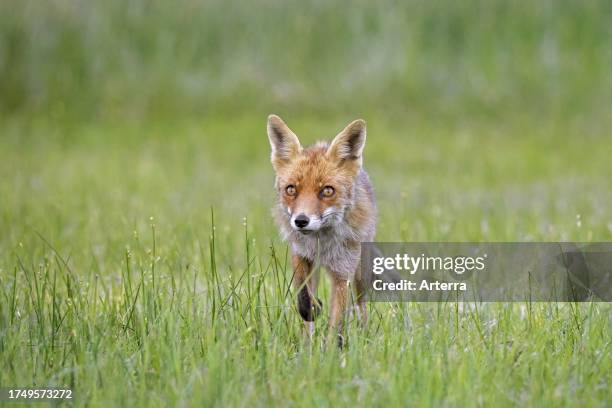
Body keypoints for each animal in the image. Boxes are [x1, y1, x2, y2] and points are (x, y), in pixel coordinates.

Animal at [268, 115, 378, 348]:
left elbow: (337, 320)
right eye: (291, 189)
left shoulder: (342, 272)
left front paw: (330, 352)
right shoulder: (300, 255)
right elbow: (302, 295)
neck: (320, 243)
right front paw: (313, 308)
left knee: (361, 305)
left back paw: (363, 334)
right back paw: (306, 343)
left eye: (327, 191)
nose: (301, 221)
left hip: (360, 273)